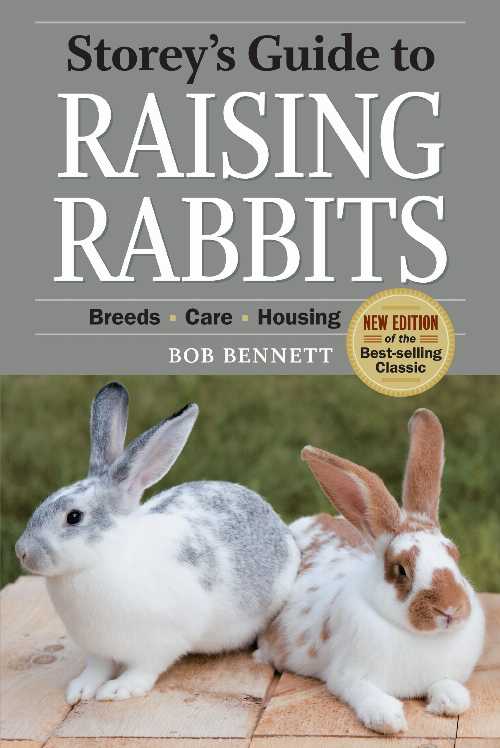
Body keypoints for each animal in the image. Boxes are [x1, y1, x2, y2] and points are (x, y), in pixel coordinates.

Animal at [15, 382, 300, 704]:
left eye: (74, 517)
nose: (22, 552)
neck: (102, 558)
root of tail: (281, 526)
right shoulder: (96, 649)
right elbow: (97, 668)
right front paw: (80, 689)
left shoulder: (159, 644)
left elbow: (143, 670)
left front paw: (117, 689)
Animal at [256, 408, 485, 735]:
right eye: (401, 570)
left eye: (455, 554)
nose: (451, 610)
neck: (420, 638)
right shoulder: (347, 676)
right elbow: (365, 693)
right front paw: (388, 719)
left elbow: (449, 689)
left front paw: (449, 702)